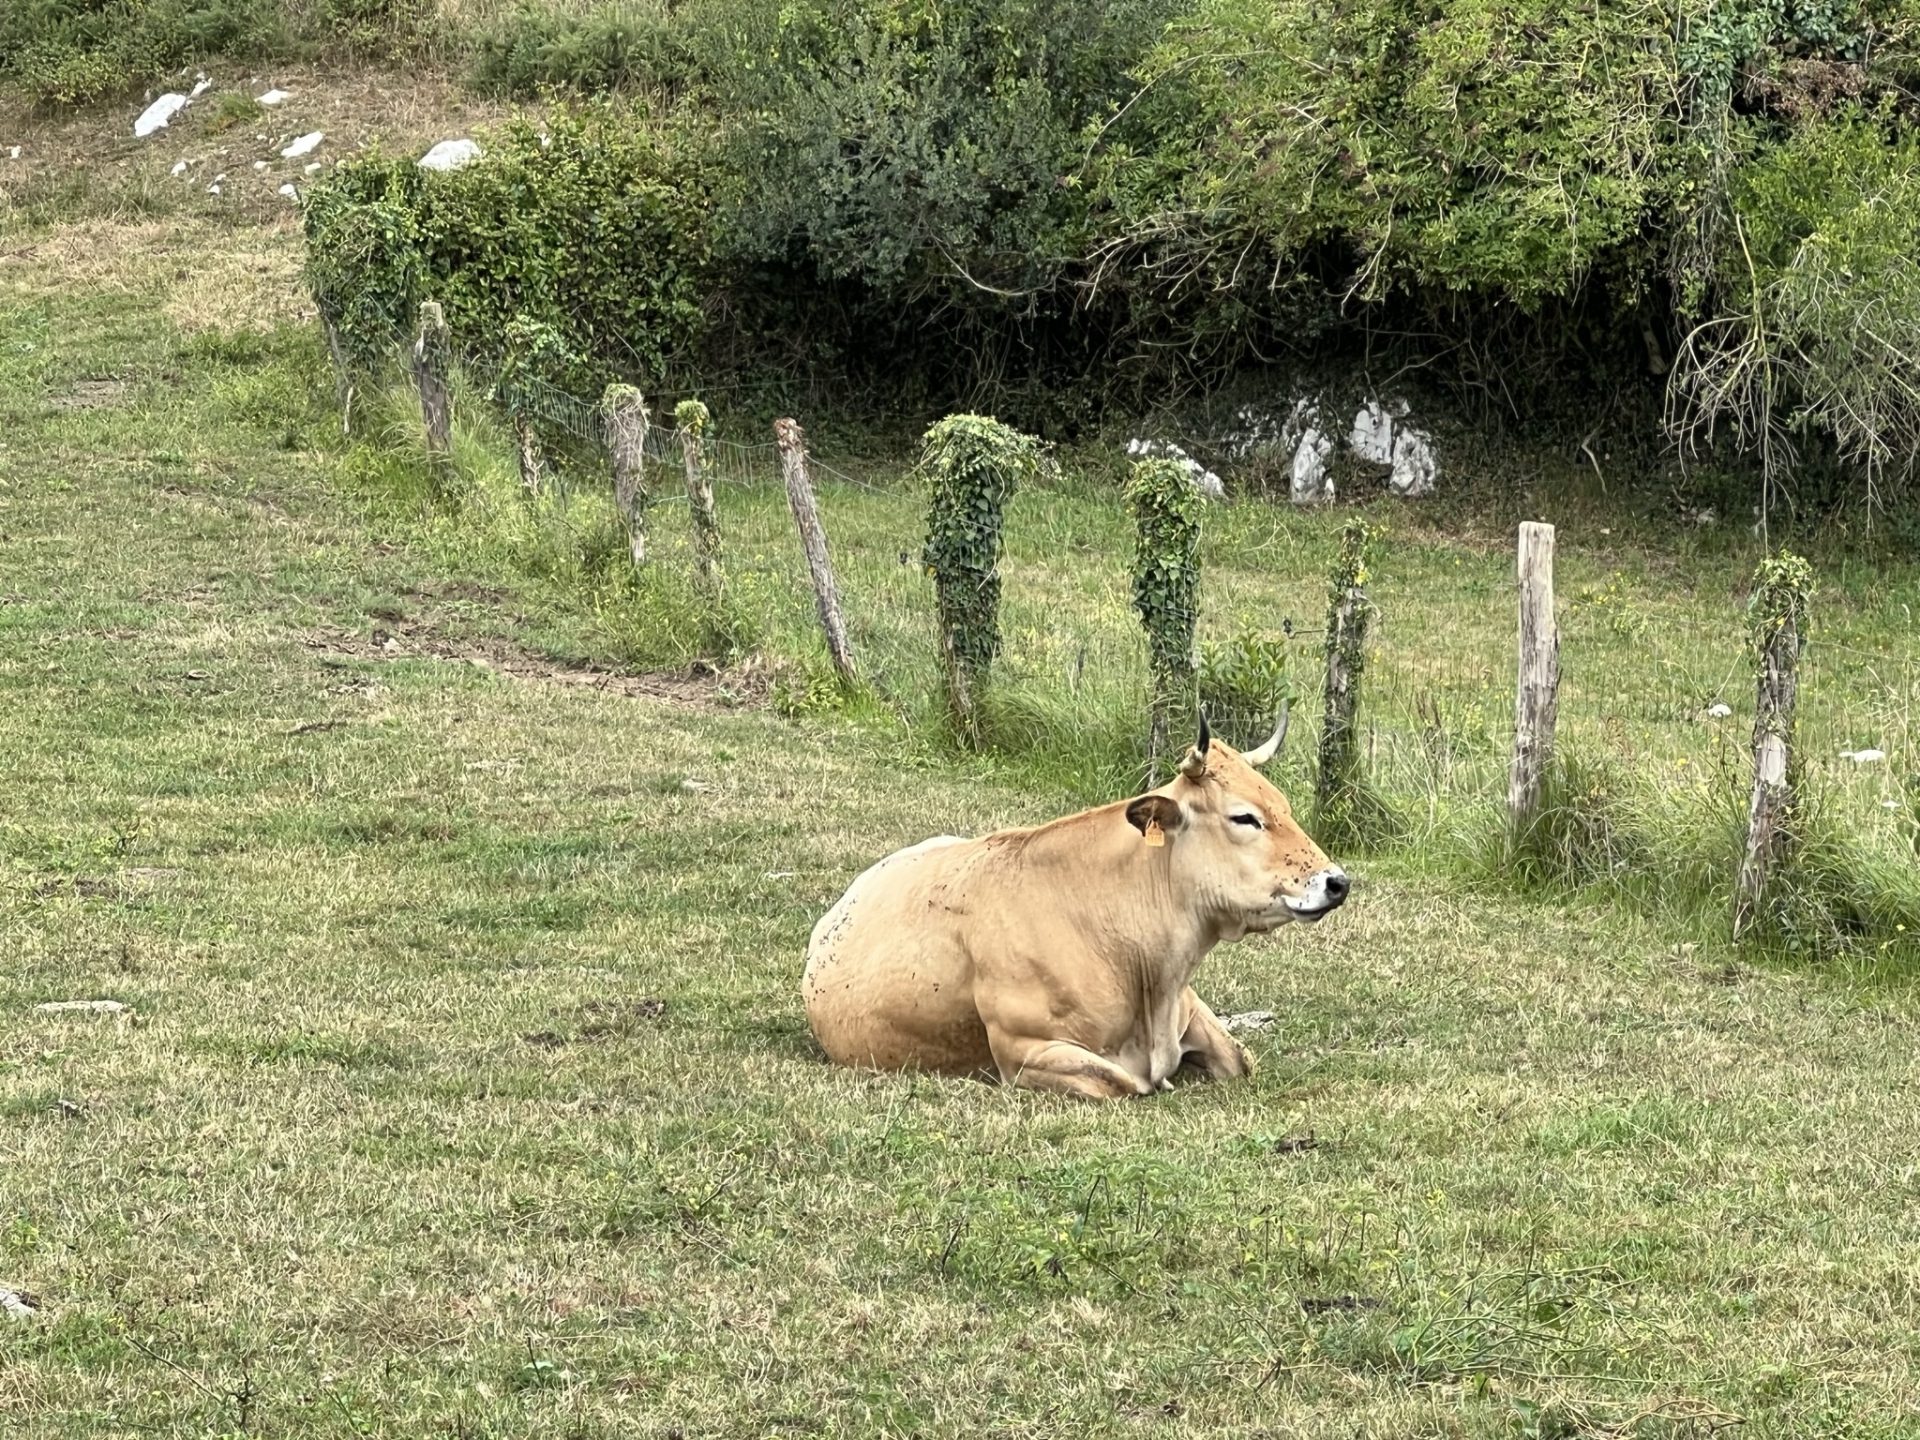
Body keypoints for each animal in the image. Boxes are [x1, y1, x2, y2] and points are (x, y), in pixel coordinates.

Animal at [801, 709, 1348, 1098]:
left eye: (1284, 807)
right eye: (1244, 817)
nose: (1336, 881)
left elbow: (1239, 1058)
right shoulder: (1024, 1052)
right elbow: (1125, 1083)